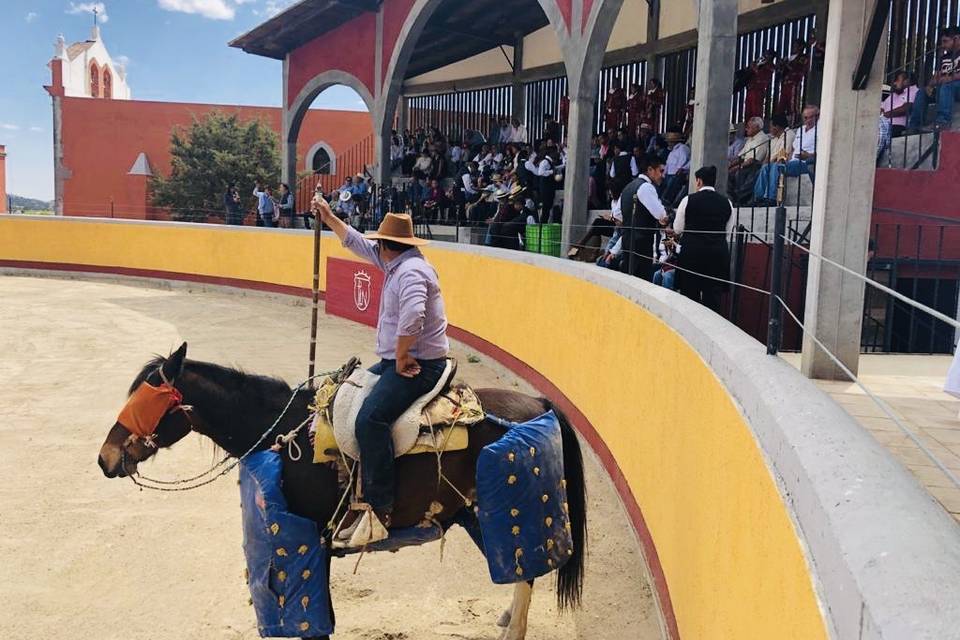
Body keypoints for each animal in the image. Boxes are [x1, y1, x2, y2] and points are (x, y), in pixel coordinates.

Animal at [97, 344, 584, 640]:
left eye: (144, 400)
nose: (106, 458)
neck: (288, 433)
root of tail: (539, 403)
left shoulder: (317, 538)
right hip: (472, 513)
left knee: (525, 571)